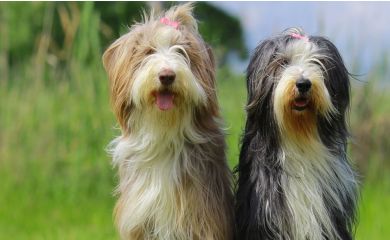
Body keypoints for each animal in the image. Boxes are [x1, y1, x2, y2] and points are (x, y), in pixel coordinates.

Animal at [102, 3, 233, 240]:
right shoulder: (139, 223)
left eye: (181, 51)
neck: (164, 135)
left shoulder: (204, 216)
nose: (167, 75)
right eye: (148, 52)